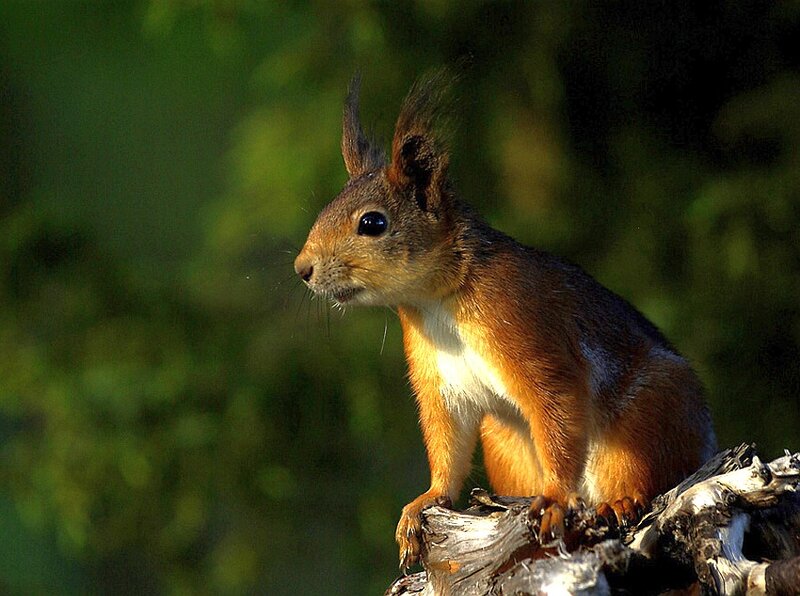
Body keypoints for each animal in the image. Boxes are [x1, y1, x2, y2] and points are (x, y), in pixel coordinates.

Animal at [294, 72, 716, 571]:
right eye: (325, 210)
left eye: (372, 223)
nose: (302, 268)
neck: (436, 303)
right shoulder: (438, 381)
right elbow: (446, 442)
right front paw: (423, 504)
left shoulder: (527, 328)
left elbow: (558, 406)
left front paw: (555, 498)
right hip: (505, 442)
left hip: (651, 414)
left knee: (643, 472)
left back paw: (619, 501)